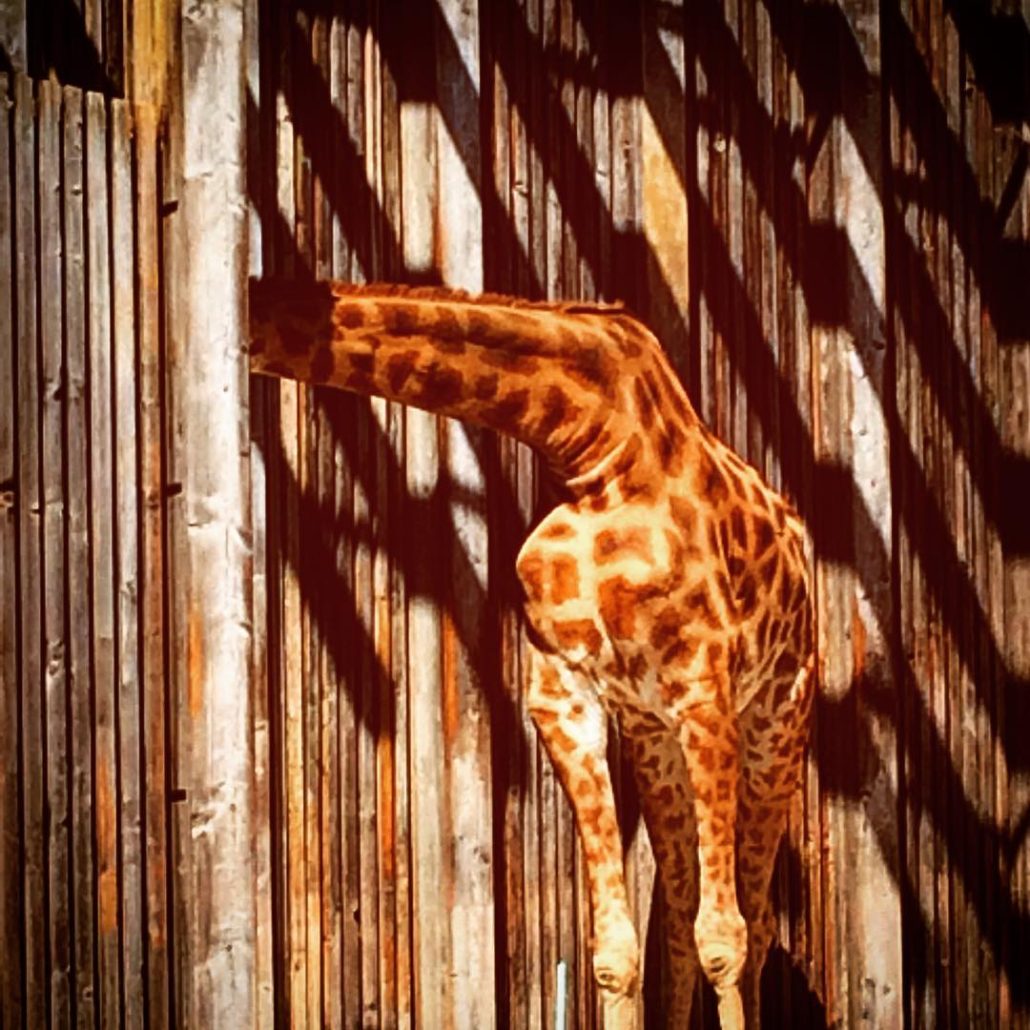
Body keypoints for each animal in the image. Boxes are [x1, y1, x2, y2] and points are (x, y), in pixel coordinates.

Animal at [248, 277, 814, 1029]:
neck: (593, 452)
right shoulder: (566, 699)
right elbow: (615, 953)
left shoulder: (703, 692)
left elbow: (725, 939)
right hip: (654, 740)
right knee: (680, 912)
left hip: (777, 723)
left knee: (752, 917)